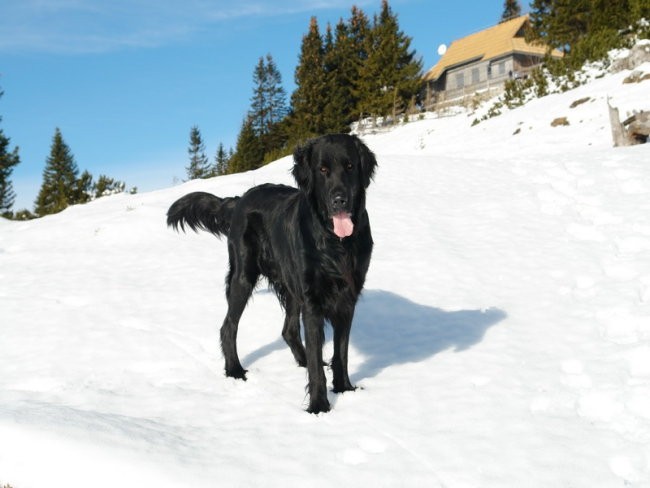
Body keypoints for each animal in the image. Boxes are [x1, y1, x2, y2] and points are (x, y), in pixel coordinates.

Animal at [167, 133, 378, 412]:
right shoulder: (312, 301)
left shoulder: (347, 298)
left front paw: (344, 389)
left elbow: (340, 352)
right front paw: (319, 406)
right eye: (322, 170)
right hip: (243, 276)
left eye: (350, 167)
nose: (339, 200)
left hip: (290, 284)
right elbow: (318, 361)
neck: (335, 241)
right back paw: (234, 370)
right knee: (228, 326)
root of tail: (240, 199)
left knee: (288, 330)